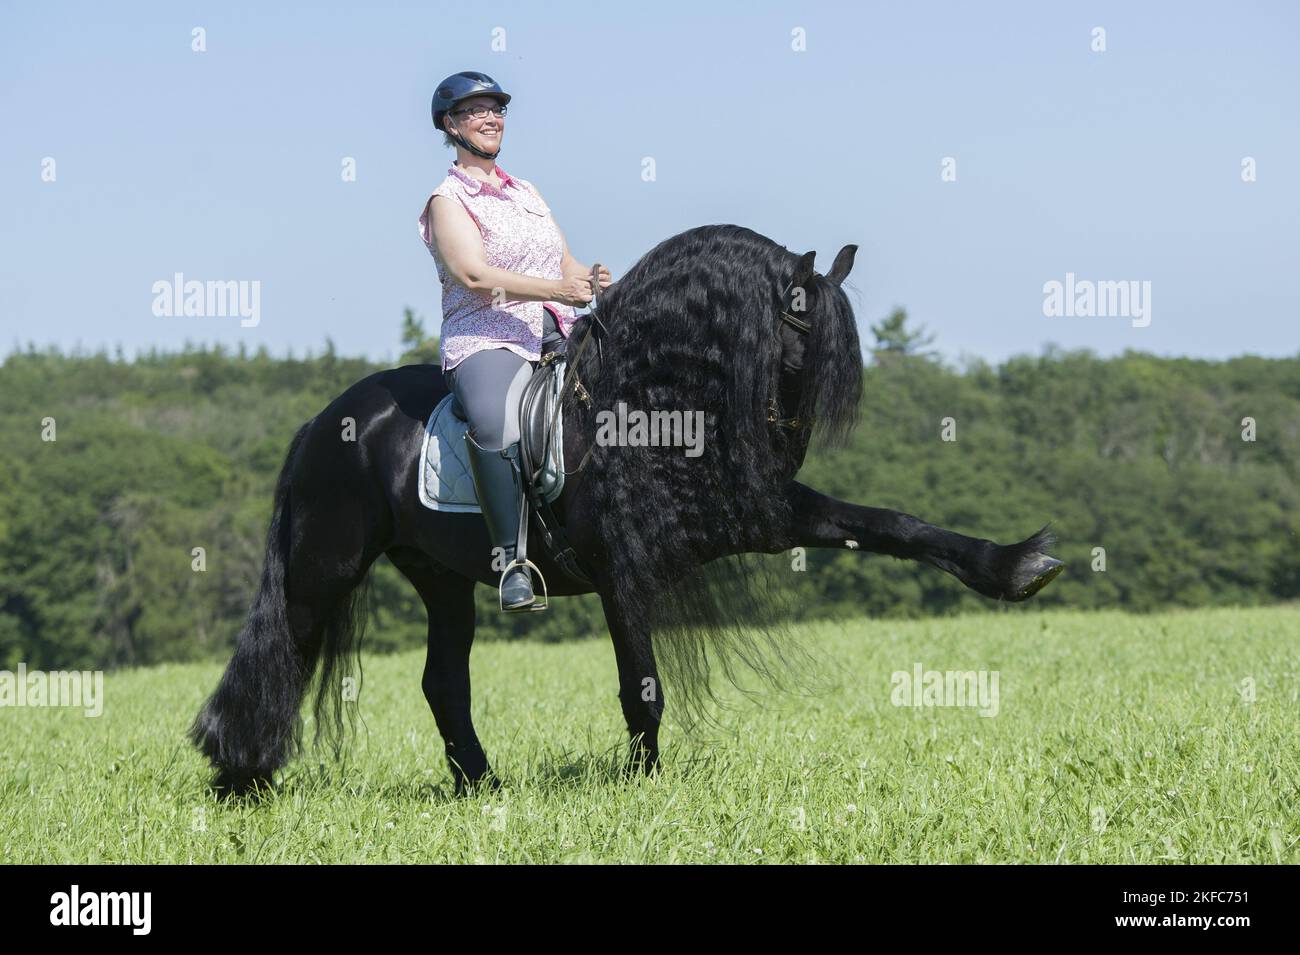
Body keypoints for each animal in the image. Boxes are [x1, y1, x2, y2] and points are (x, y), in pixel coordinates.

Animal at [189, 224, 1064, 797]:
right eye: (795, 333)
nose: (784, 438)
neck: (644, 402)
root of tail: (324, 419)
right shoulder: (621, 572)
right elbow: (640, 685)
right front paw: (645, 787)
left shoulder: (758, 519)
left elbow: (890, 524)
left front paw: (1015, 565)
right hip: (325, 564)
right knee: (283, 648)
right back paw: (239, 774)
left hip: (441, 577)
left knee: (442, 682)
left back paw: (483, 786)